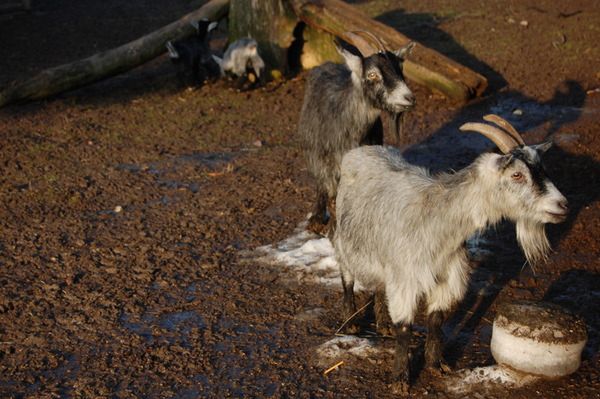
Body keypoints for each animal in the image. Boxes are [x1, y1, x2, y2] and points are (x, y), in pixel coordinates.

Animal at [336, 115, 568, 394]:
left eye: (542, 169)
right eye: (517, 174)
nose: (562, 205)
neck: (440, 220)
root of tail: (361, 151)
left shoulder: (447, 277)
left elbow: (436, 319)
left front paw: (436, 364)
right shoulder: (406, 279)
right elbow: (404, 327)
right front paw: (400, 380)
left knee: (379, 286)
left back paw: (382, 325)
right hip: (344, 238)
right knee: (347, 277)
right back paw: (350, 321)